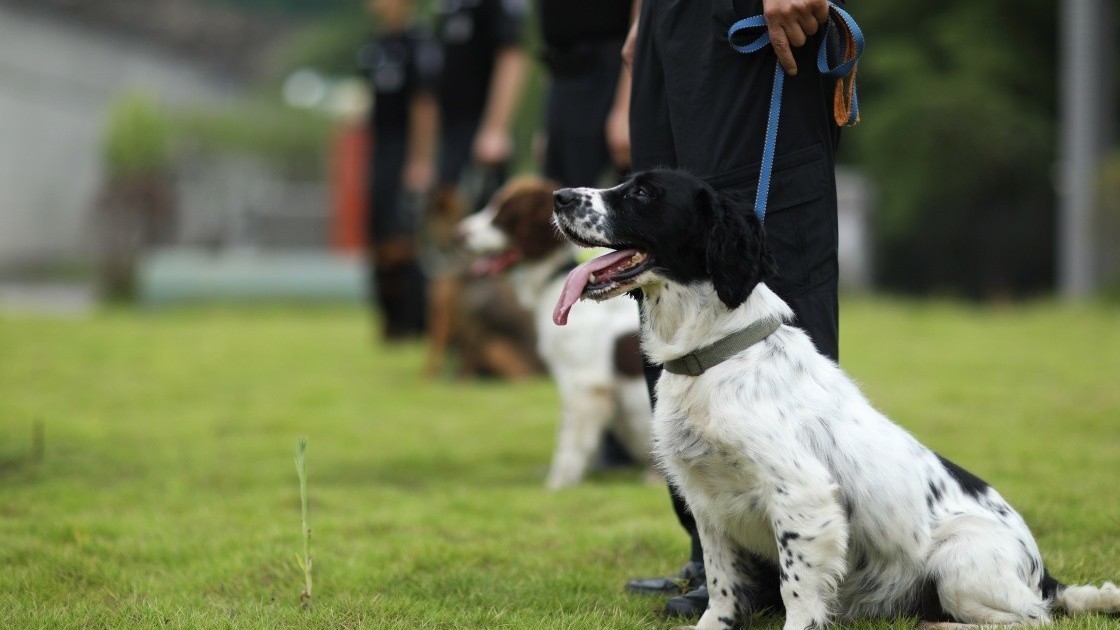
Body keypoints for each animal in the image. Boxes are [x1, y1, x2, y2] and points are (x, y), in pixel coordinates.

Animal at [551, 169, 1120, 623]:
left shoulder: (802, 497)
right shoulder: (708, 504)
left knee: (1028, 618)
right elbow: (721, 588)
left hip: (958, 562)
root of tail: (1045, 575)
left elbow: (797, 591)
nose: (558, 195)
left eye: (643, 193)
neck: (713, 356)